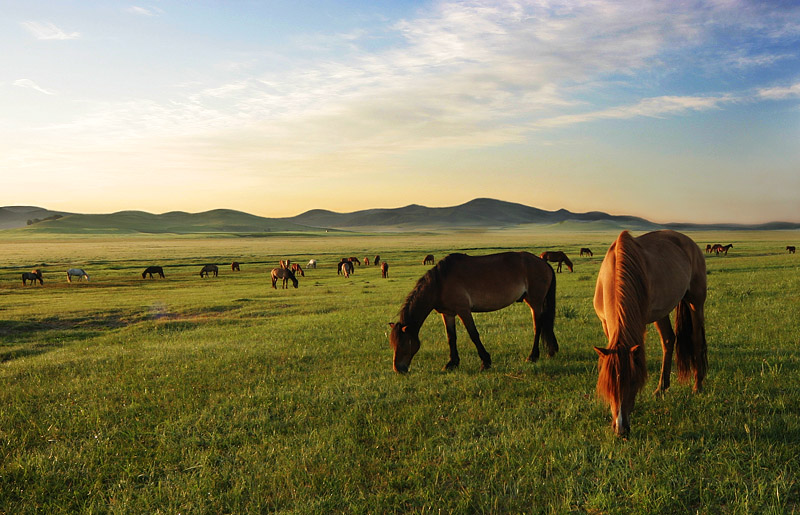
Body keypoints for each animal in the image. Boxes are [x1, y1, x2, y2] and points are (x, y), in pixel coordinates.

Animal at [389, 252, 558, 373]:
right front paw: (452, 363)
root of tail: (543, 263)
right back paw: (550, 352)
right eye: (393, 344)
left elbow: (473, 335)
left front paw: (485, 362)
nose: (398, 369)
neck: (440, 283)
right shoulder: (448, 313)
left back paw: (533, 356)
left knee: (538, 327)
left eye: (403, 343)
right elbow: (451, 337)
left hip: (535, 302)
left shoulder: (463, 310)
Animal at [593, 230, 707, 437]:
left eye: (633, 383)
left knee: (695, 339)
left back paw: (697, 384)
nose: (621, 429)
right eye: (608, 385)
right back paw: (661, 388)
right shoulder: (606, 324)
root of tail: (688, 241)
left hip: (696, 301)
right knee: (669, 340)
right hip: (661, 313)